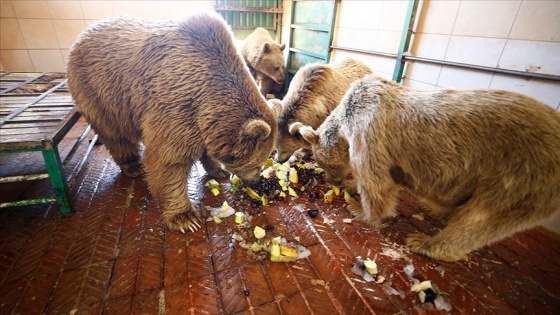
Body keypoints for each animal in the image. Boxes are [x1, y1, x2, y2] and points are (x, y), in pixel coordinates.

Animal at [68, 12, 278, 233]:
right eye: (257, 162)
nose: (255, 181)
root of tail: (82, 35)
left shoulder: (200, 120)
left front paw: (217, 169)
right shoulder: (175, 104)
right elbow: (168, 161)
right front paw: (185, 218)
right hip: (100, 92)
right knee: (115, 135)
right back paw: (133, 165)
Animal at [296, 74, 556, 262]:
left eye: (324, 164)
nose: (333, 181)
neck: (345, 120)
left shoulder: (369, 132)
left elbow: (377, 182)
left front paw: (359, 208)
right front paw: (352, 187)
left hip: (518, 174)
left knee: (480, 218)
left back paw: (424, 242)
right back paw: (434, 210)